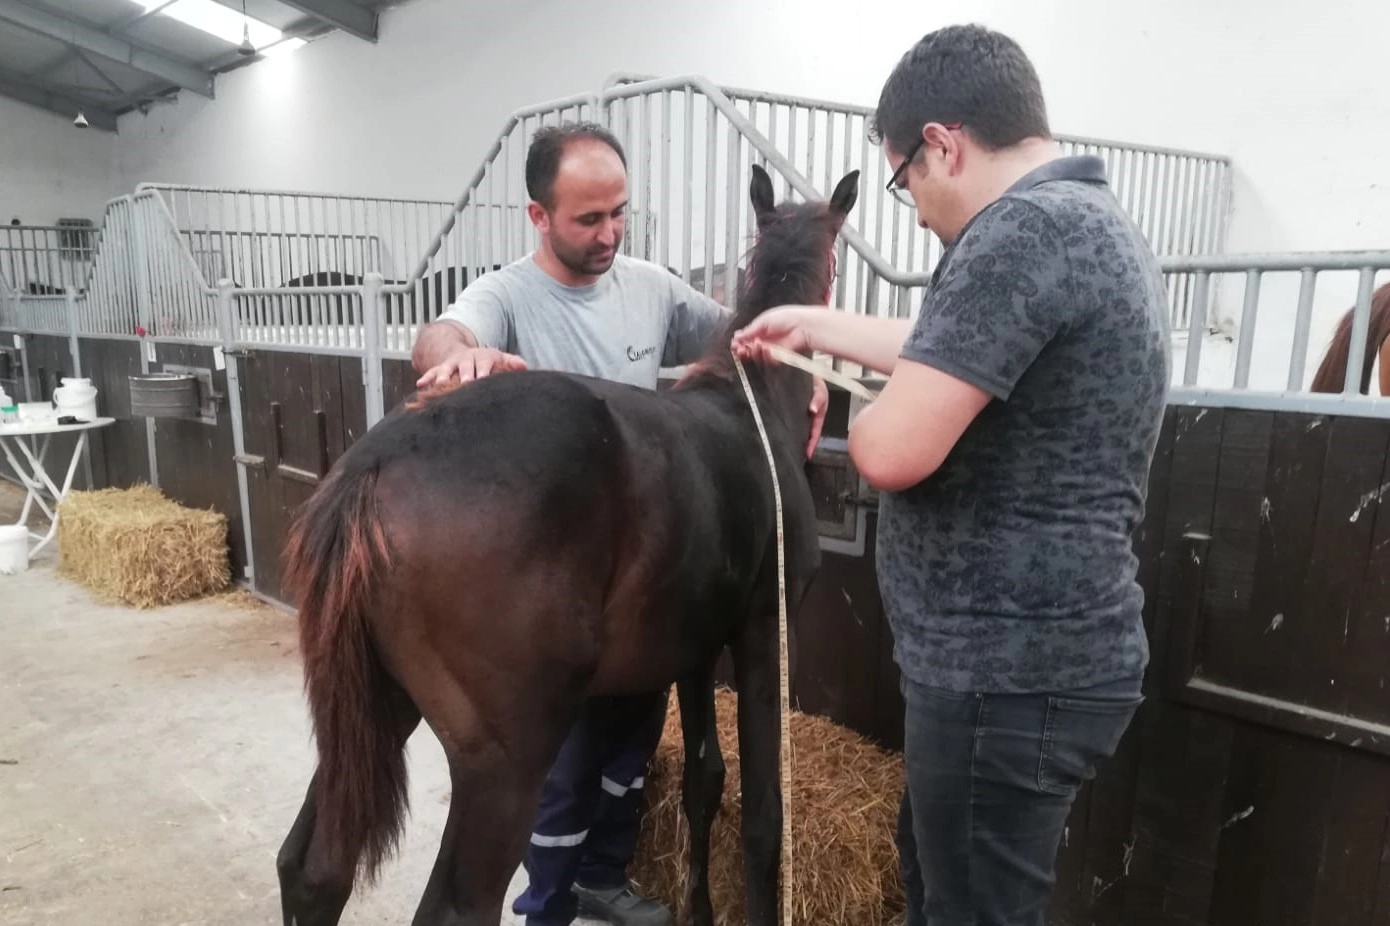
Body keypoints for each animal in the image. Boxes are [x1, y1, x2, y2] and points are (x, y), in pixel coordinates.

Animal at [271, 166, 856, 923]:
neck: (750, 403)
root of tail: (372, 468)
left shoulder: (696, 651)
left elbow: (704, 782)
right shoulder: (765, 631)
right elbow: (762, 816)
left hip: (378, 710)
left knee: (312, 871)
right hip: (506, 763)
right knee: (456, 907)